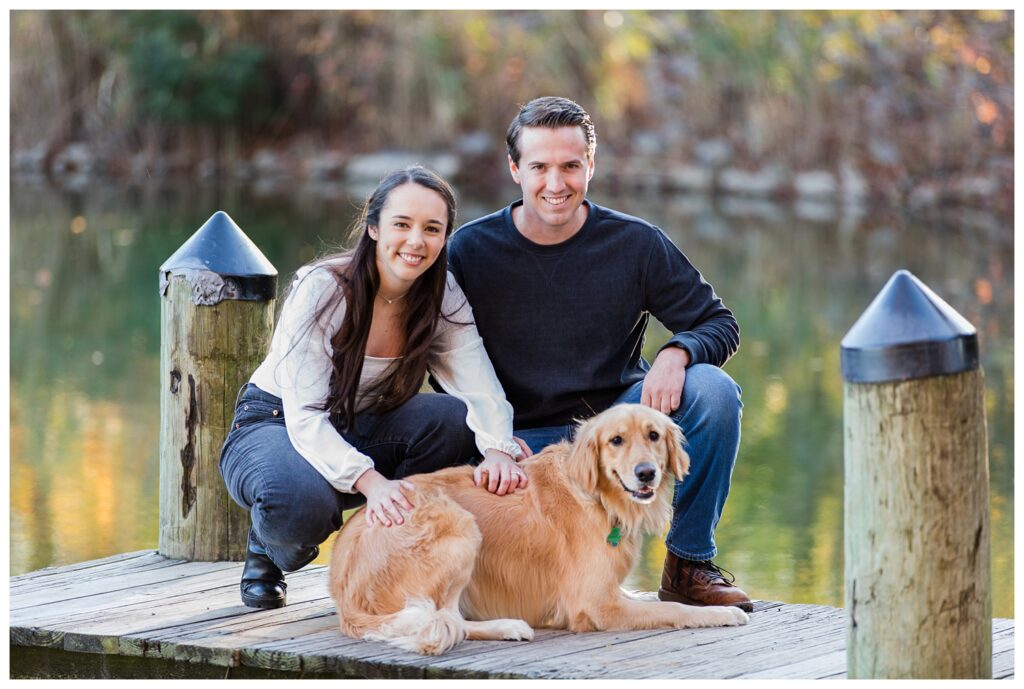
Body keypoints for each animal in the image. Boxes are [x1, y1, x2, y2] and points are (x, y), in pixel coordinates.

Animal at [331, 403, 749, 655]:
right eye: (616, 440)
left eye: (654, 436)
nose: (646, 473)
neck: (598, 497)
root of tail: (345, 596)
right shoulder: (595, 604)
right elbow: (673, 608)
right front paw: (722, 615)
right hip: (458, 525)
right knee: (446, 622)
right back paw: (509, 626)